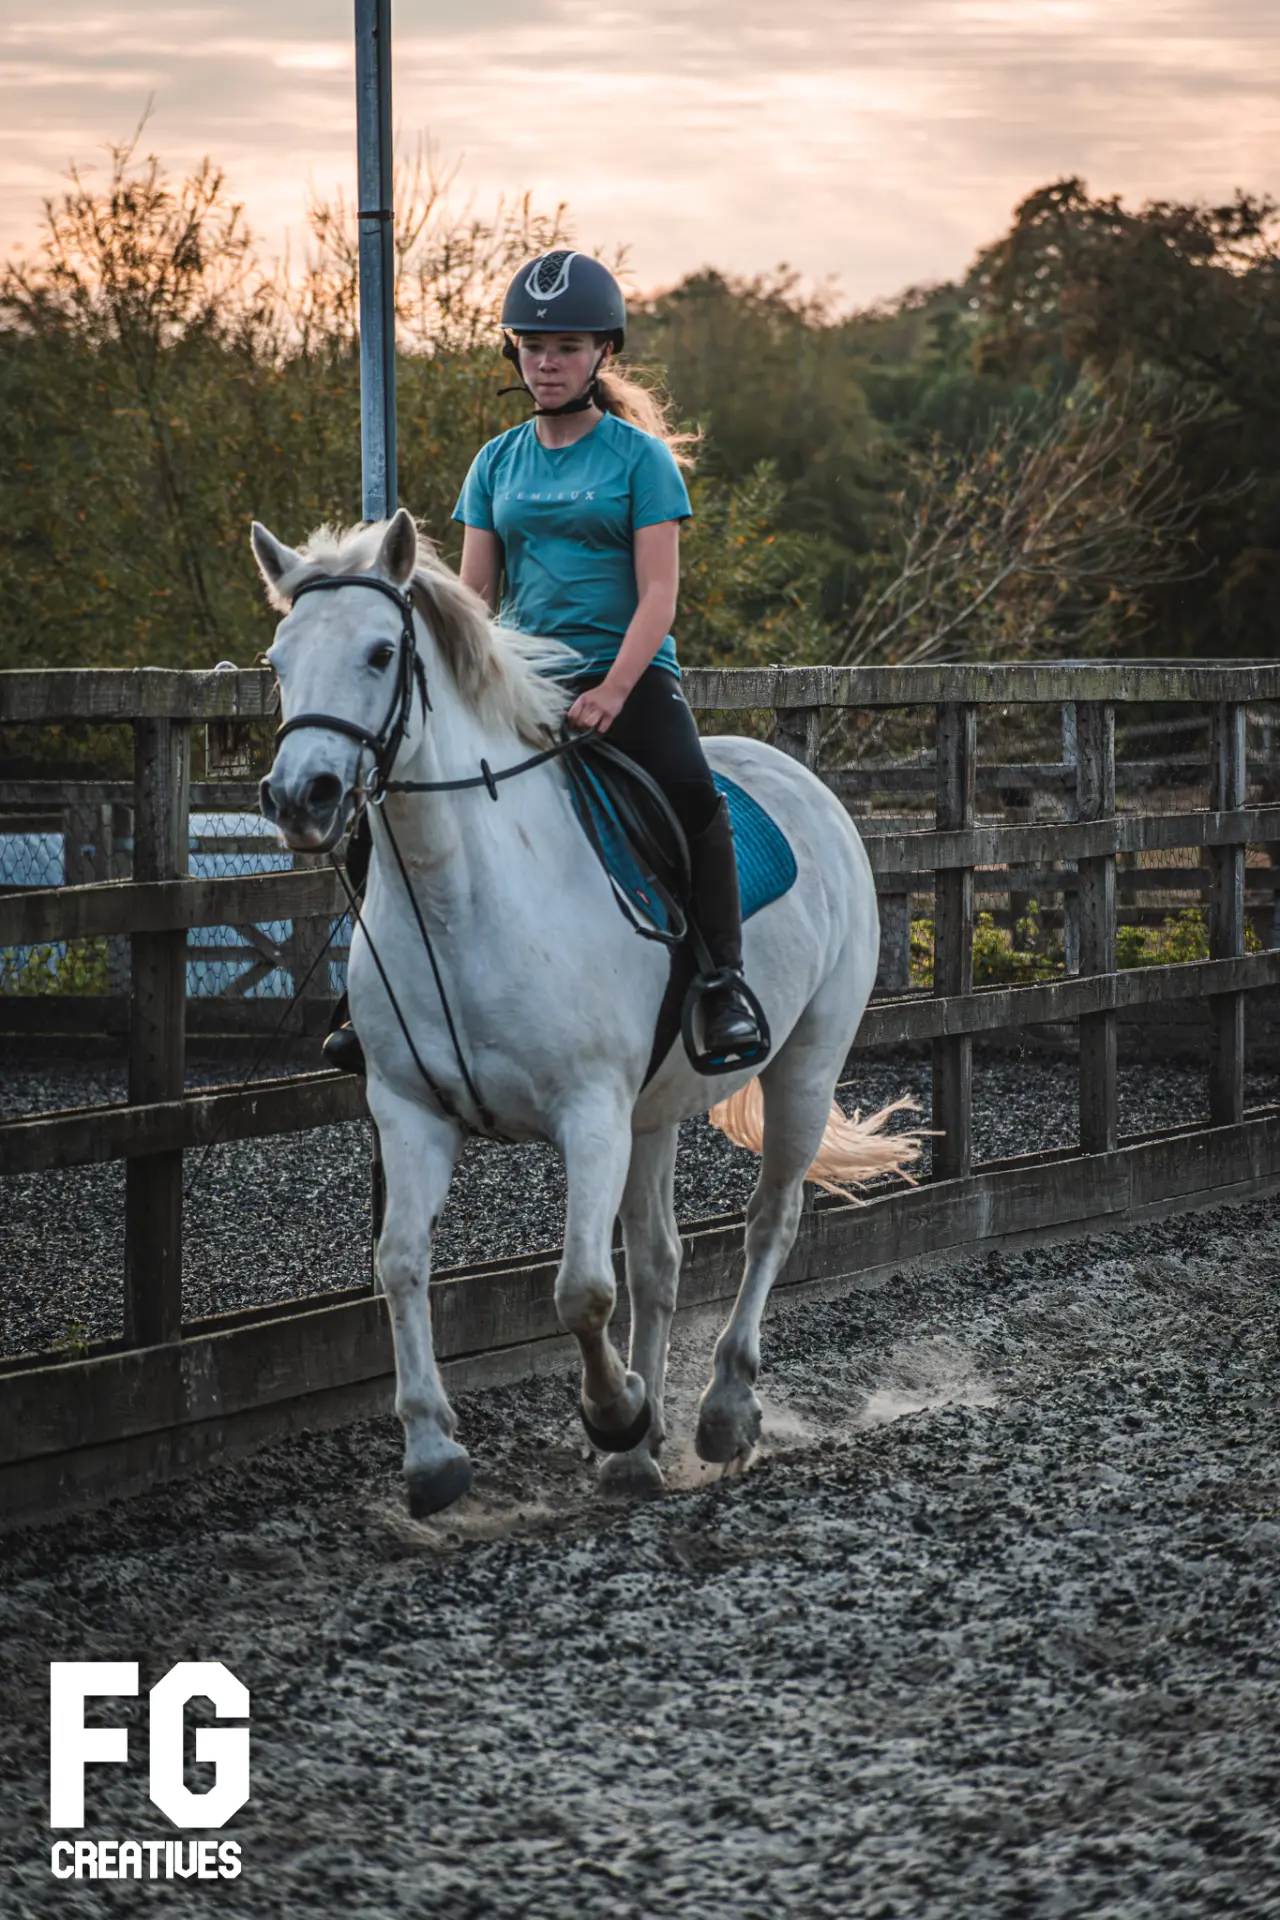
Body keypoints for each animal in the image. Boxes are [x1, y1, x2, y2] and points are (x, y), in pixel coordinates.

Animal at [254, 508, 919, 1516]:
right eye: (280, 658)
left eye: (380, 652)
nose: (302, 796)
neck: (463, 902)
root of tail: (799, 779)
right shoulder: (407, 1112)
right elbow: (401, 1262)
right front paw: (434, 1455)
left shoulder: (590, 1113)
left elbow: (579, 1291)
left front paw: (615, 1413)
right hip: (655, 1111)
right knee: (659, 1259)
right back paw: (642, 1457)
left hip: (805, 1065)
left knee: (771, 1220)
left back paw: (721, 1413)